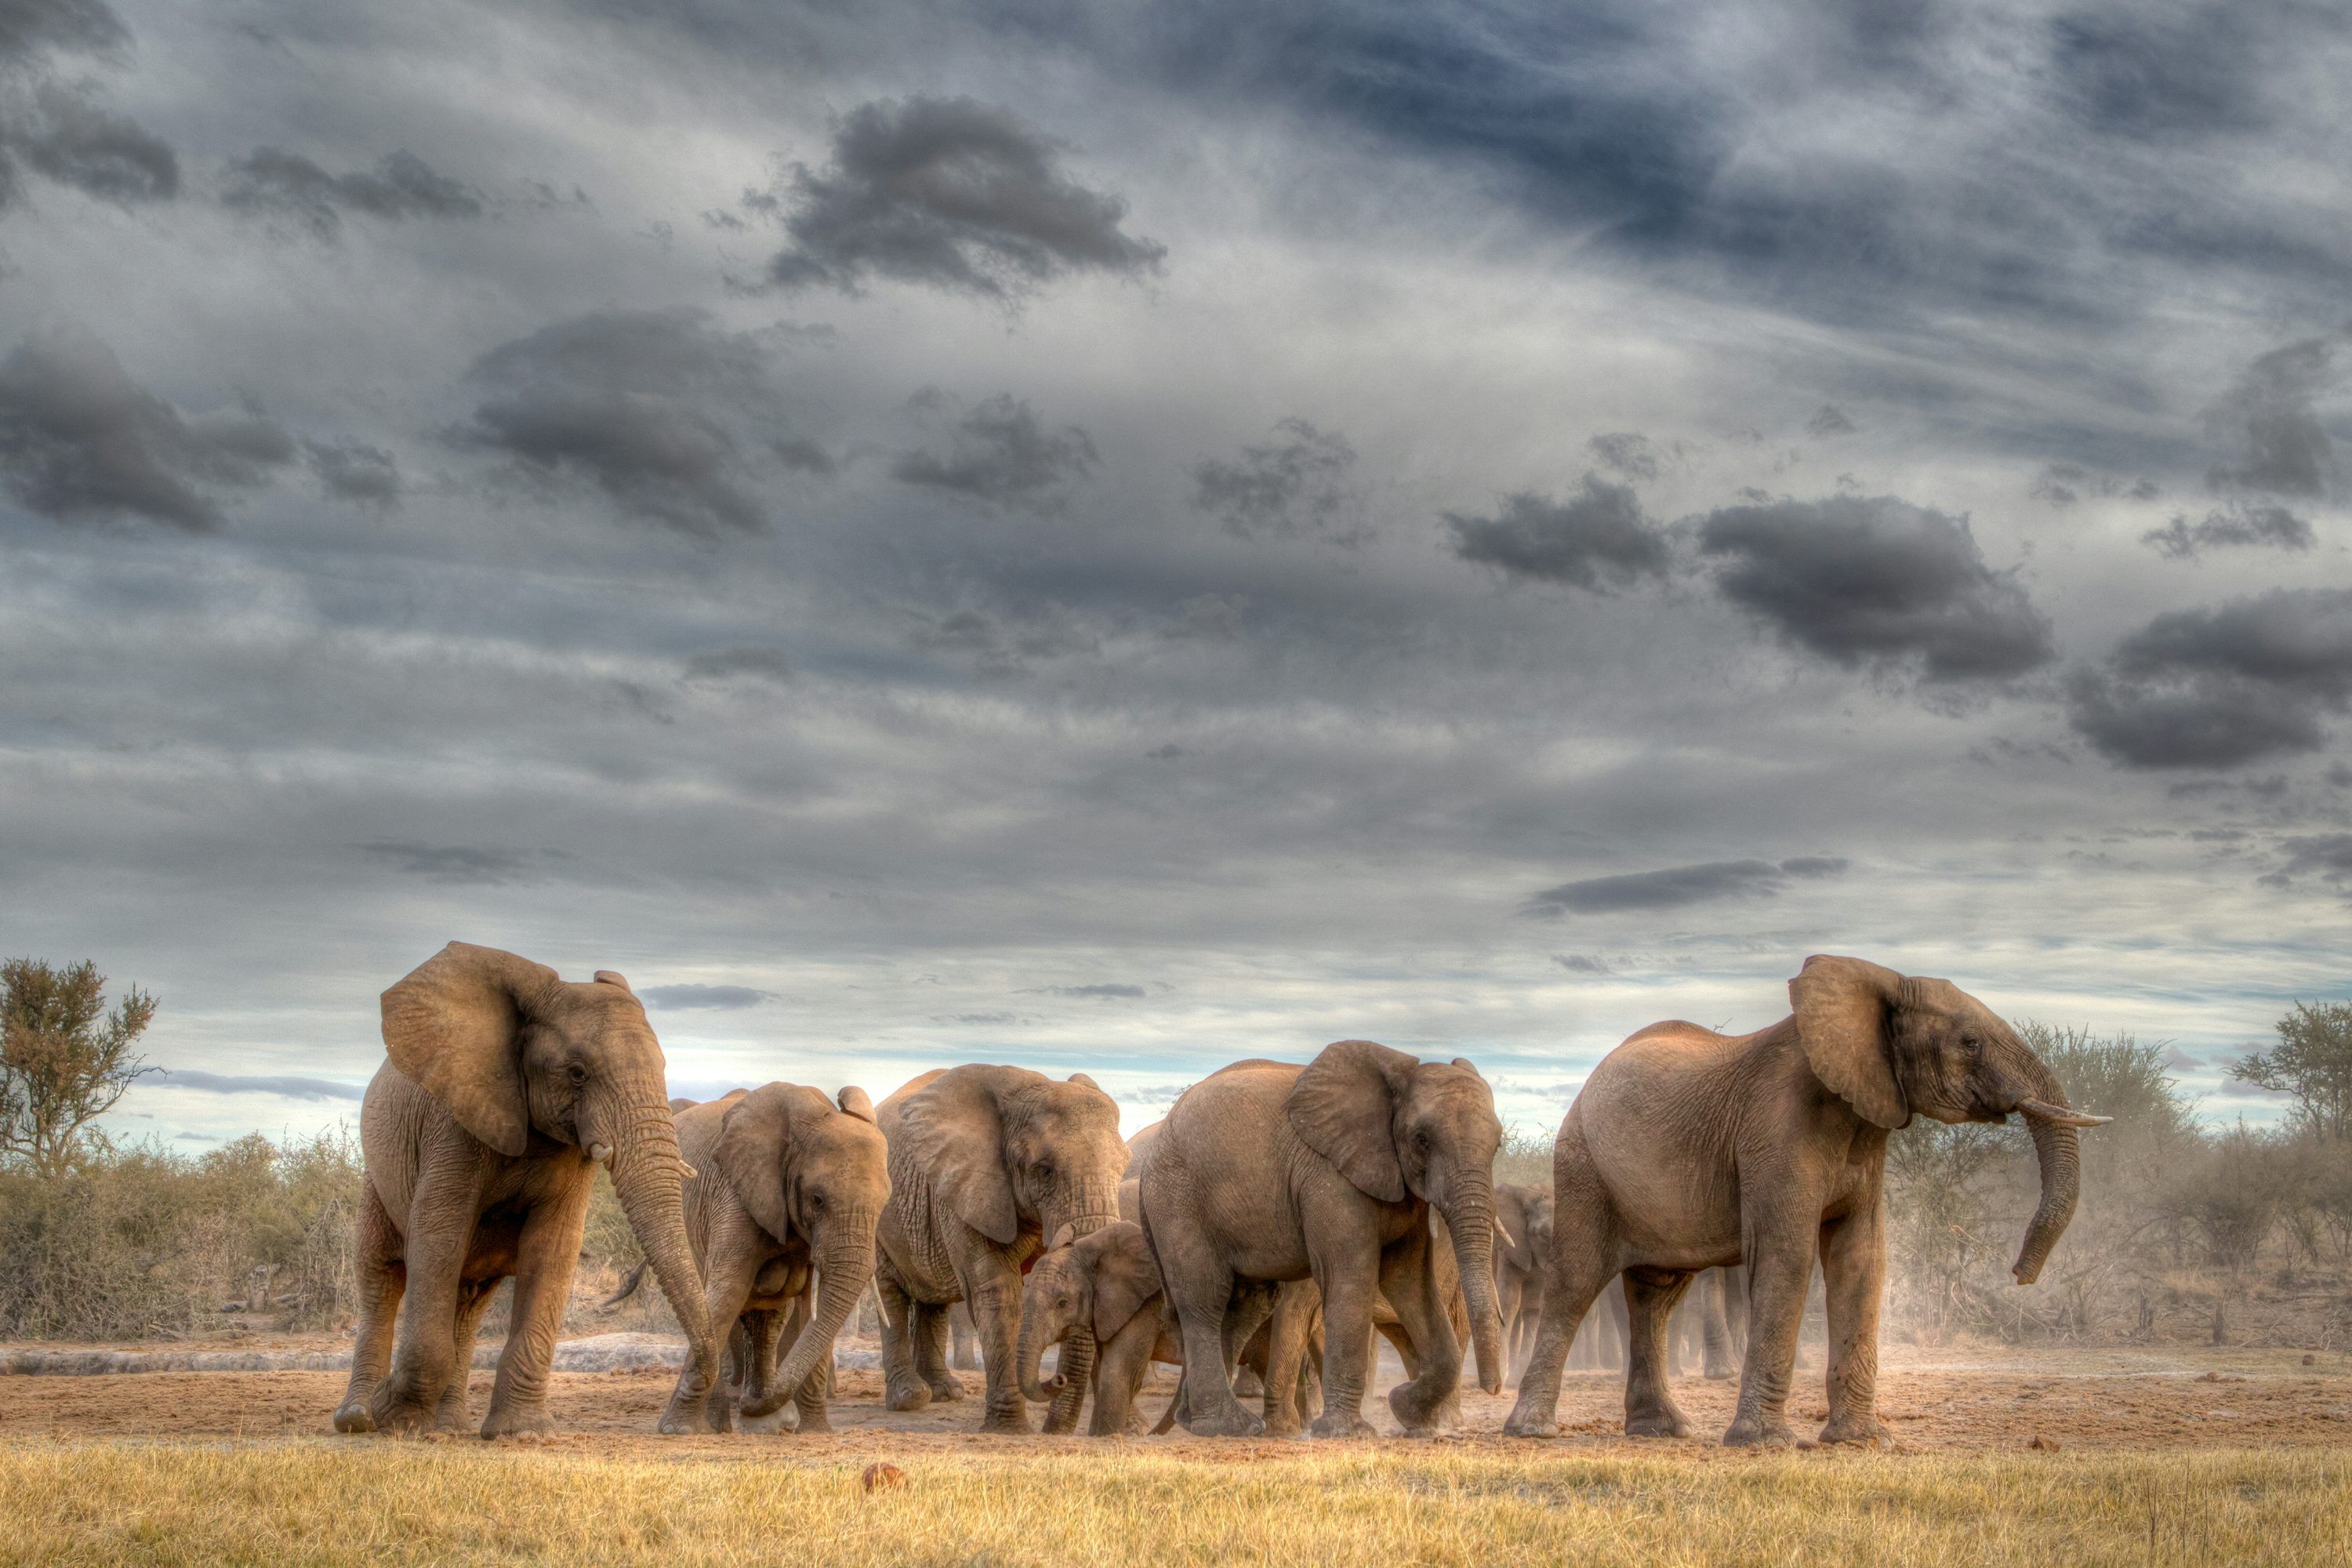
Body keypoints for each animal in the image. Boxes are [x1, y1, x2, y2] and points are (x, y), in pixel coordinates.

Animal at [332, 943, 719, 1437]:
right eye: (577, 1073)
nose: (684, 1419)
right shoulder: (453, 1124)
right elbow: (438, 1238)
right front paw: (396, 1419)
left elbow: (551, 1248)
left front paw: (523, 1432)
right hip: (377, 1178)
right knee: (380, 1275)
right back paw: (359, 1418)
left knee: (470, 1298)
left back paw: (449, 1426)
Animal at [657, 1082, 890, 1433]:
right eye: (817, 1200)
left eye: (885, 1202)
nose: (748, 1405)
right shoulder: (737, 1195)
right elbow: (725, 1296)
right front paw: (678, 1430)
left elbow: (812, 1308)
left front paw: (814, 1432)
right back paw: (722, 1424)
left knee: (769, 1319)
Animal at [872, 1064, 1128, 1433]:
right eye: (1044, 1171)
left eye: (1124, 1167)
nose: (1057, 1381)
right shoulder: (969, 1186)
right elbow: (997, 1292)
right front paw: (1010, 1429)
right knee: (890, 1291)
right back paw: (911, 1398)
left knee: (934, 1300)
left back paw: (947, 1394)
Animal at [1141, 1043, 1507, 1438]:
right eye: (1422, 1141)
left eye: (1498, 1145)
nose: (1495, 1388)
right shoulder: (1330, 1177)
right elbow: (1351, 1278)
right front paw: (1349, 1432)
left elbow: (1410, 1282)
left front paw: (1406, 1409)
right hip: (1178, 1202)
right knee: (1205, 1299)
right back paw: (1228, 1425)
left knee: (1244, 1304)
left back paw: (1197, 1421)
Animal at [1505, 954, 2111, 1449]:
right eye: (1970, 1043)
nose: (2019, 1274)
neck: (1877, 985)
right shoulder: (1776, 1133)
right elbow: (1788, 1256)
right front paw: (1765, 1443)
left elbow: (1861, 1260)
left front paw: (1864, 1442)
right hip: (1582, 1163)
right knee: (1578, 1281)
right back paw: (1532, 1430)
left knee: (1658, 1292)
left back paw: (1662, 1431)